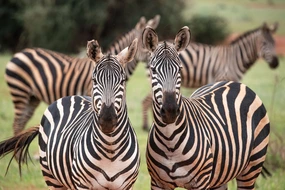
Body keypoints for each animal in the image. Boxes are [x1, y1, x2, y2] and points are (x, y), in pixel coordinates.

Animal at [0, 37, 140, 189]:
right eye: (94, 80)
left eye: (123, 80)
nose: (107, 120)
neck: (111, 149)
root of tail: (71, 96)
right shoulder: (82, 184)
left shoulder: (127, 185)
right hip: (51, 176)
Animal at [4, 15, 159, 137]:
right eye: (146, 43)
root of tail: (19, 53)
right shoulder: (91, 93)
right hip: (19, 91)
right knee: (17, 123)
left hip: (32, 98)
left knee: (21, 122)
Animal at [141, 21, 278, 130]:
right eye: (265, 43)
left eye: (274, 43)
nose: (276, 63)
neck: (234, 59)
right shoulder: (222, 77)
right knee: (146, 101)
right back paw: (145, 126)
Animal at [143, 26, 270, 190]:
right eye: (153, 70)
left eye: (180, 69)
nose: (170, 110)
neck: (169, 140)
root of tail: (233, 83)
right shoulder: (158, 182)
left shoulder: (201, 182)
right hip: (221, 175)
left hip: (251, 167)